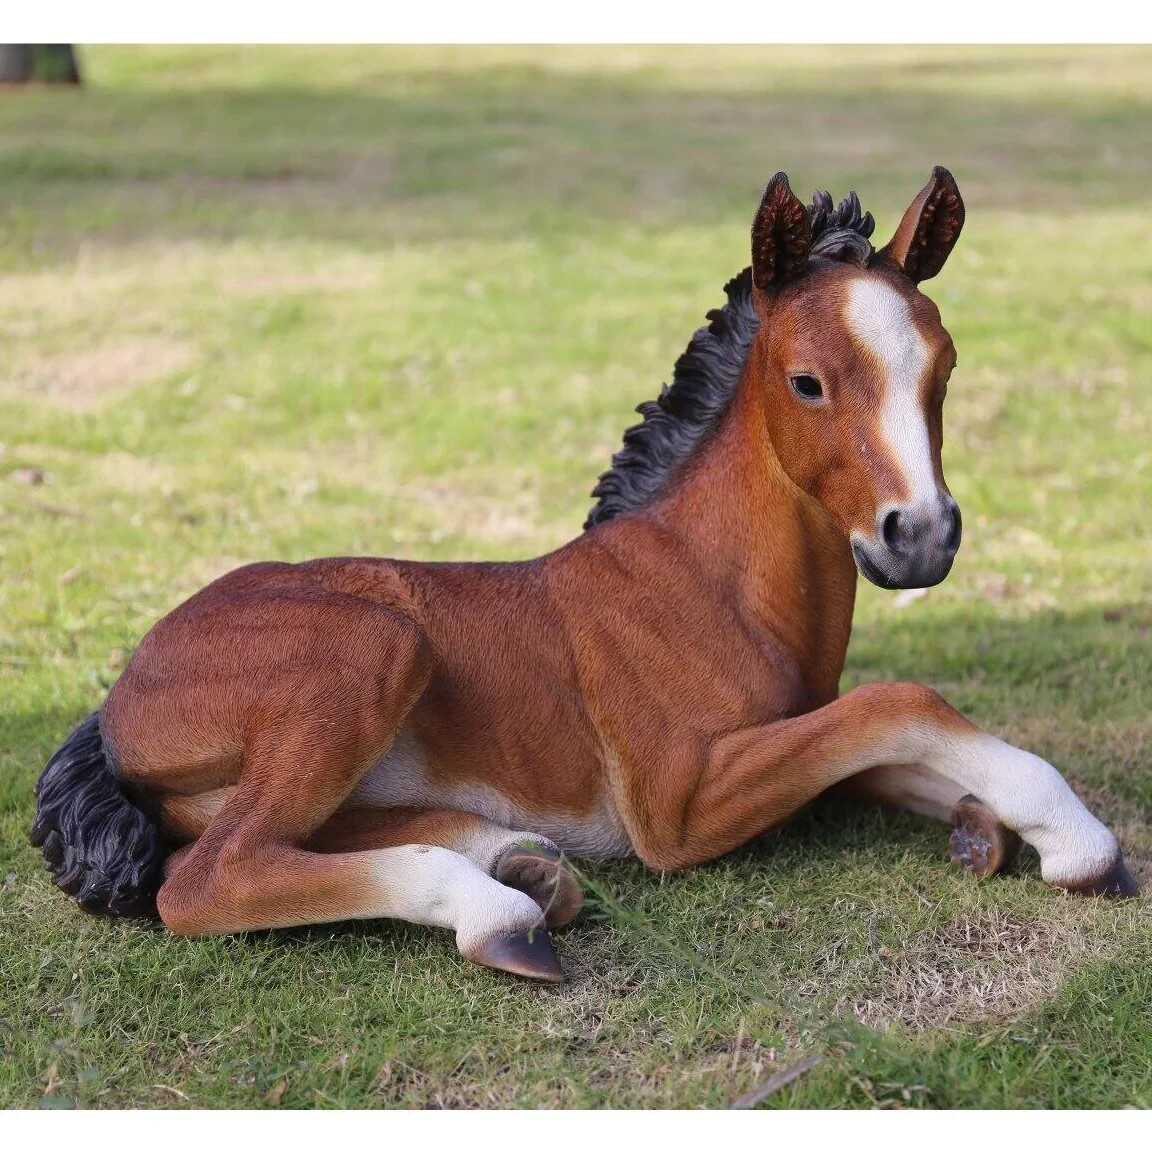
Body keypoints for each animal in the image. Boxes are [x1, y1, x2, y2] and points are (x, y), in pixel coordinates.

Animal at [31, 167, 1137, 984]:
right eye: (807, 382)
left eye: (944, 370)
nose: (922, 538)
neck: (708, 583)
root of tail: (118, 697)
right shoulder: (681, 803)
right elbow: (902, 702)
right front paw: (1081, 844)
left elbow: (897, 752)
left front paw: (986, 828)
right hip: (370, 647)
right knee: (211, 875)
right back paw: (498, 909)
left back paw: (519, 860)